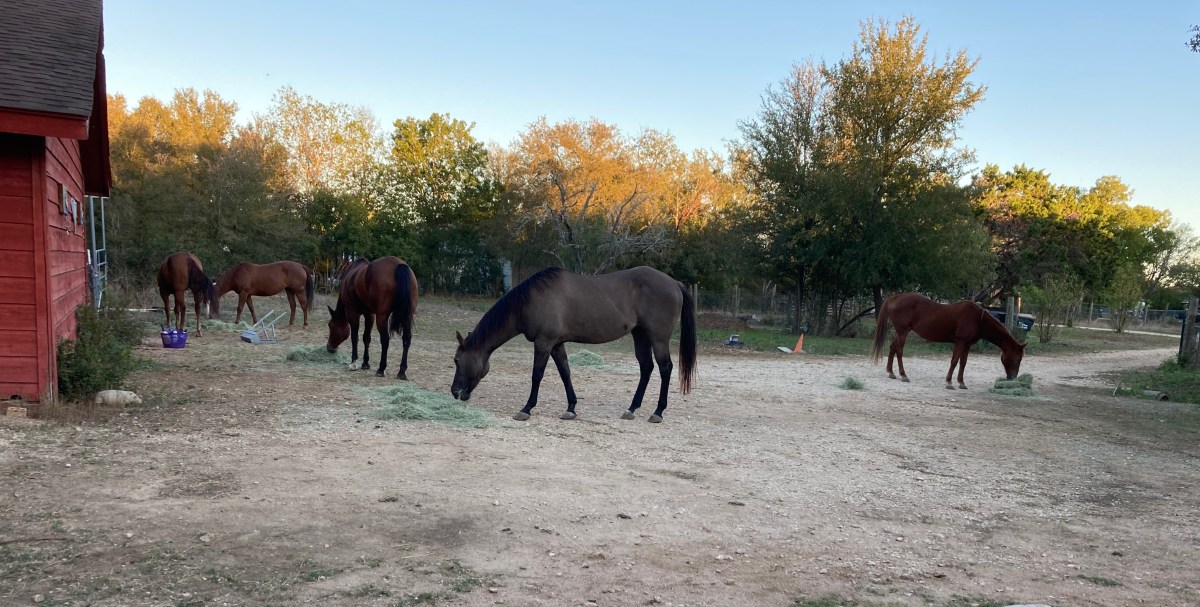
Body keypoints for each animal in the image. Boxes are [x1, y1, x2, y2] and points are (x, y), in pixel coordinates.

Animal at [450, 266, 697, 423]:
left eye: (456, 360)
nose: (455, 392)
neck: (531, 300)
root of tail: (674, 283)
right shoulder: (557, 344)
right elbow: (565, 373)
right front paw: (571, 408)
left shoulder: (544, 343)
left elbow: (536, 375)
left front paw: (526, 408)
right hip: (640, 335)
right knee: (646, 367)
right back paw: (631, 409)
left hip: (658, 338)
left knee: (665, 368)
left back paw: (658, 412)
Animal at [871, 292, 1025, 389]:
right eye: (1018, 358)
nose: (1013, 377)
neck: (978, 319)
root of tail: (894, 297)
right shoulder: (960, 342)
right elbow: (954, 361)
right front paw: (949, 382)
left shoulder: (967, 345)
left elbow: (963, 363)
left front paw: (961, 383)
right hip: (903, 332)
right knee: (899, 351)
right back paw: (903, 375)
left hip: (900, 332)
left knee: (892, 348)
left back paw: (891, 373)